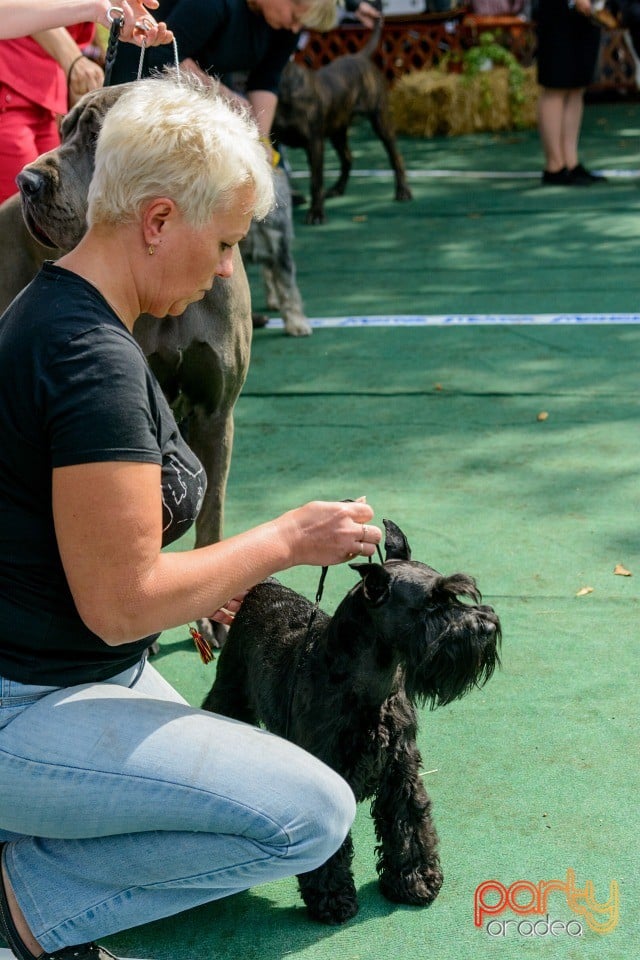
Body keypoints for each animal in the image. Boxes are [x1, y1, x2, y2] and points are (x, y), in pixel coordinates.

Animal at [272, 20, 412, 223]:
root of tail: (359, 56)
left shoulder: (314, 143)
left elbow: (316, 181)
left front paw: (316, 213)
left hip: (380, 120)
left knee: (395, 156)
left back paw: (403, 191)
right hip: (337, 130)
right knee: (348, 157)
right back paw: (337, 189)